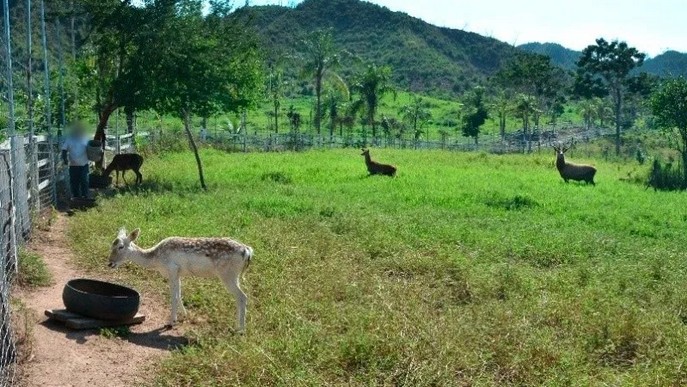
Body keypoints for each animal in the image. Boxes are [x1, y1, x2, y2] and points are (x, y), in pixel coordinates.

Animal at [109, 227, 254, 334]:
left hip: (228, 274)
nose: (110, 263)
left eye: (121, 246)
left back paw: (240, 330)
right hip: (234, 275)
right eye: (112, 244)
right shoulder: (178, 273)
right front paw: (184, 316)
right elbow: (179, 295)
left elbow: (173, 296)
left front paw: (171, 322)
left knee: (242, 296)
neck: (157, 260)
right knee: (241, 297)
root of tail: (248, 251)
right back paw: (237, 326)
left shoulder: (172, 269)